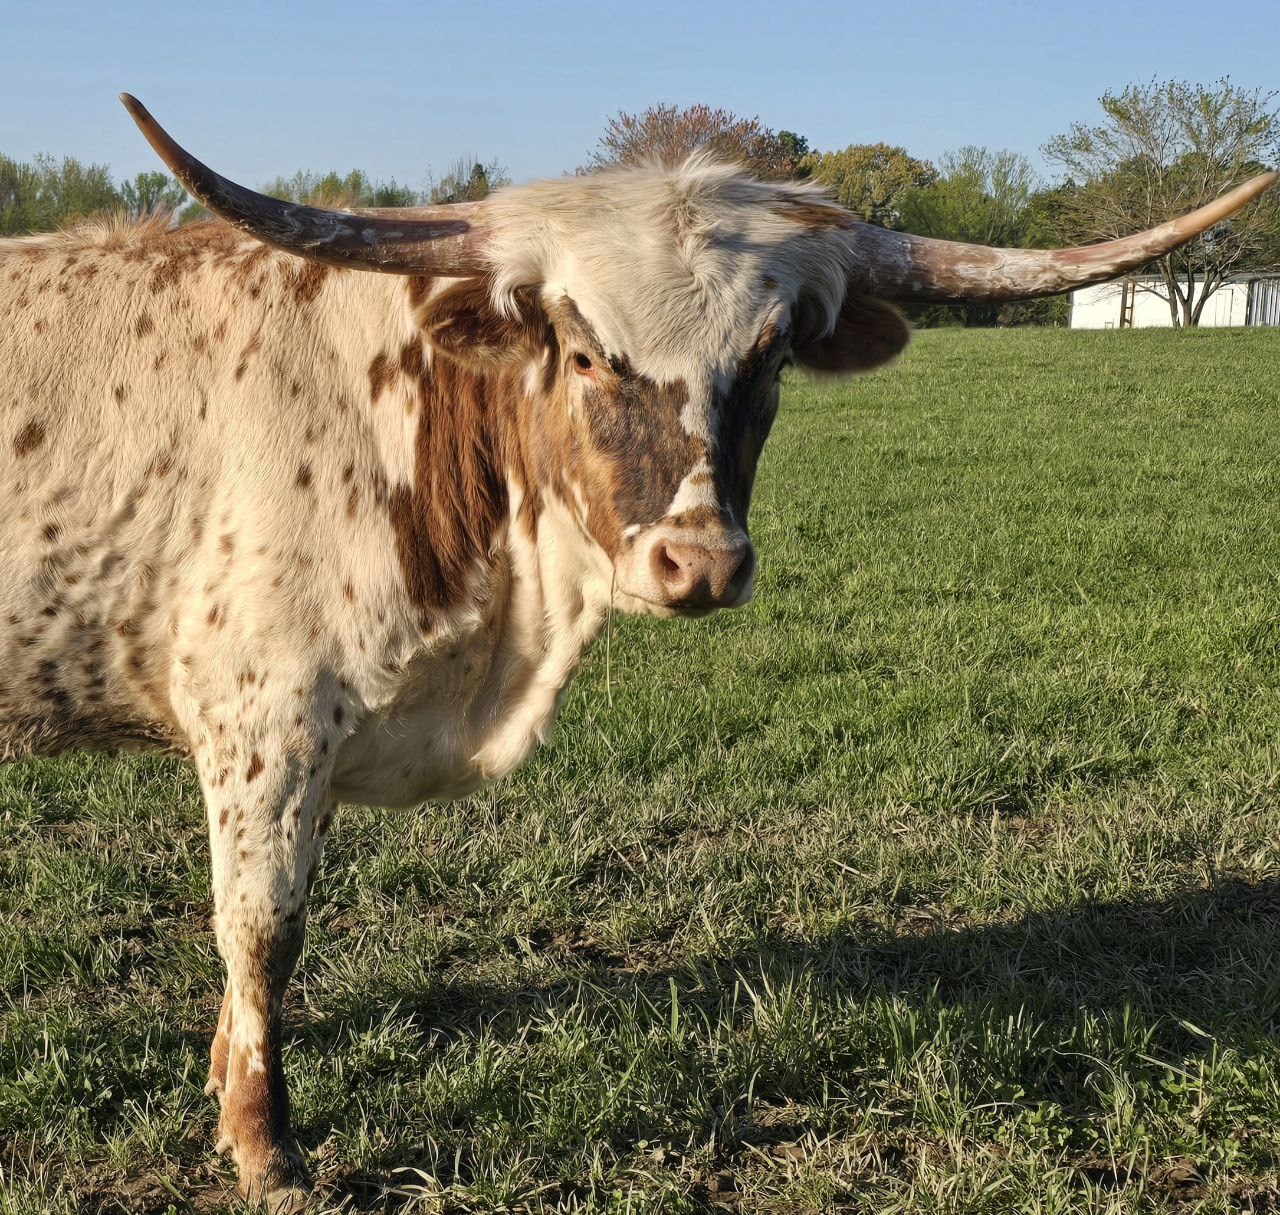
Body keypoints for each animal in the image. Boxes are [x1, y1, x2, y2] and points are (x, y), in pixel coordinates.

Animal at [2, 93, 1273, 1209]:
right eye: (579, 349)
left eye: (770, 358)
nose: (697, 563)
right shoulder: (264, 716)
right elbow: (263, 929)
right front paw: (266, 1147)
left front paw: (229, 1099)